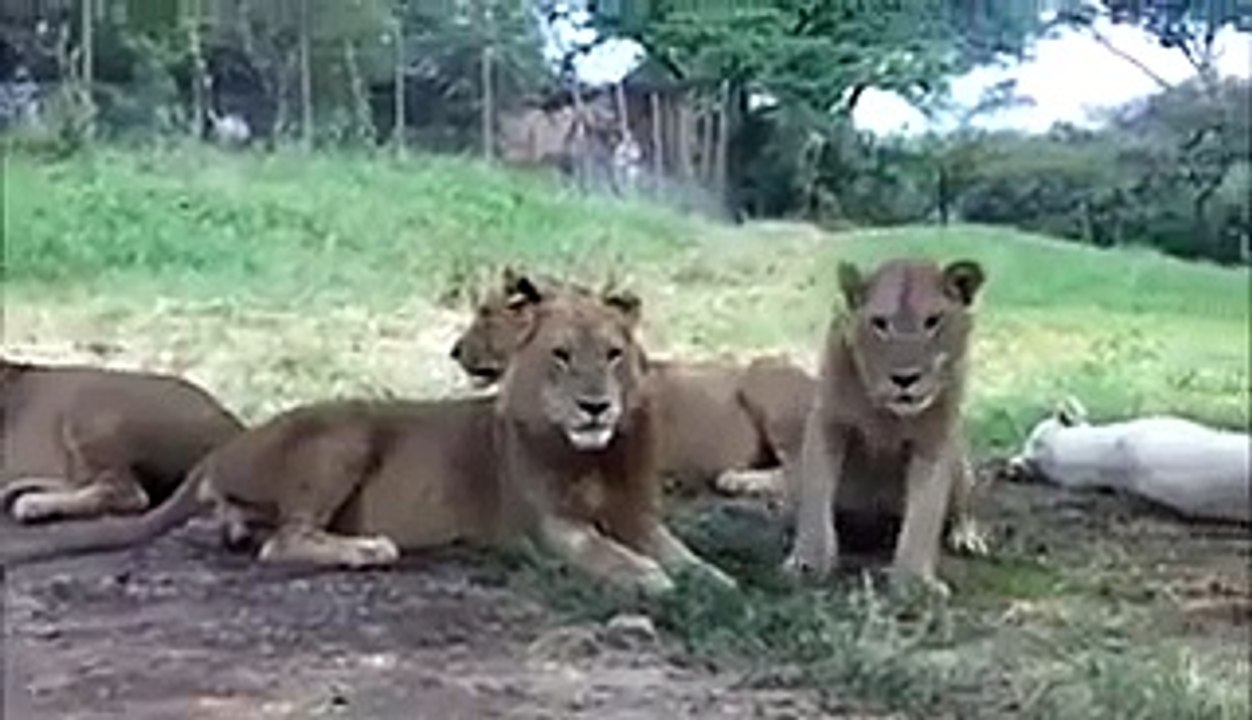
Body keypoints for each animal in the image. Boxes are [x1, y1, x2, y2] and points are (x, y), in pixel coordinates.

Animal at [782, 258, 990, 595]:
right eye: (880, 323)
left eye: (933, 321)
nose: (905, 379)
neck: (888, 416)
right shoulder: (828, 422)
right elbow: (816, 495)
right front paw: (808, 563)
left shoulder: (936, 437)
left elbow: (925, 512)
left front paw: (915, 581)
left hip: (961, 460)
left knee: (962, 506)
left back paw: (966, 537)